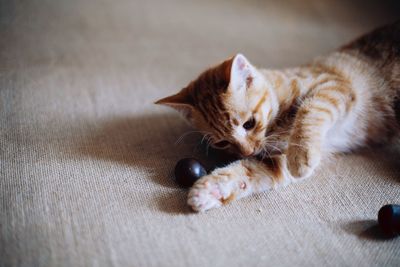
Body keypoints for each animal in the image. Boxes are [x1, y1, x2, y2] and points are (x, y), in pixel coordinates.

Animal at [155, 21, 400, 214]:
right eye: (223, 142)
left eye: (249, 124)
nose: (247, 151)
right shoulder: (274, 162)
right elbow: (244, 172)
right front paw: (208, 190)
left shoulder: (334, 84)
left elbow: (310, 108)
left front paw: (302, 155)